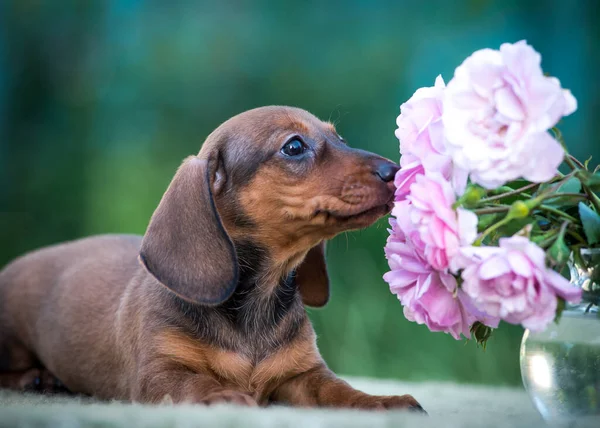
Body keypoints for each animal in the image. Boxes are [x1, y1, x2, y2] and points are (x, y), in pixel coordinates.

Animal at [0, 105, 424, 410]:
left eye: (340, 138)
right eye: (294, 146)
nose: (394, 171)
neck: (256, 300)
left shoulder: (303, 374)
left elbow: (338, 390)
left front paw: (382, 401)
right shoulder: (159, 373)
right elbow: (193, 382)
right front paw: (222, 395)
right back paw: (35, 378)